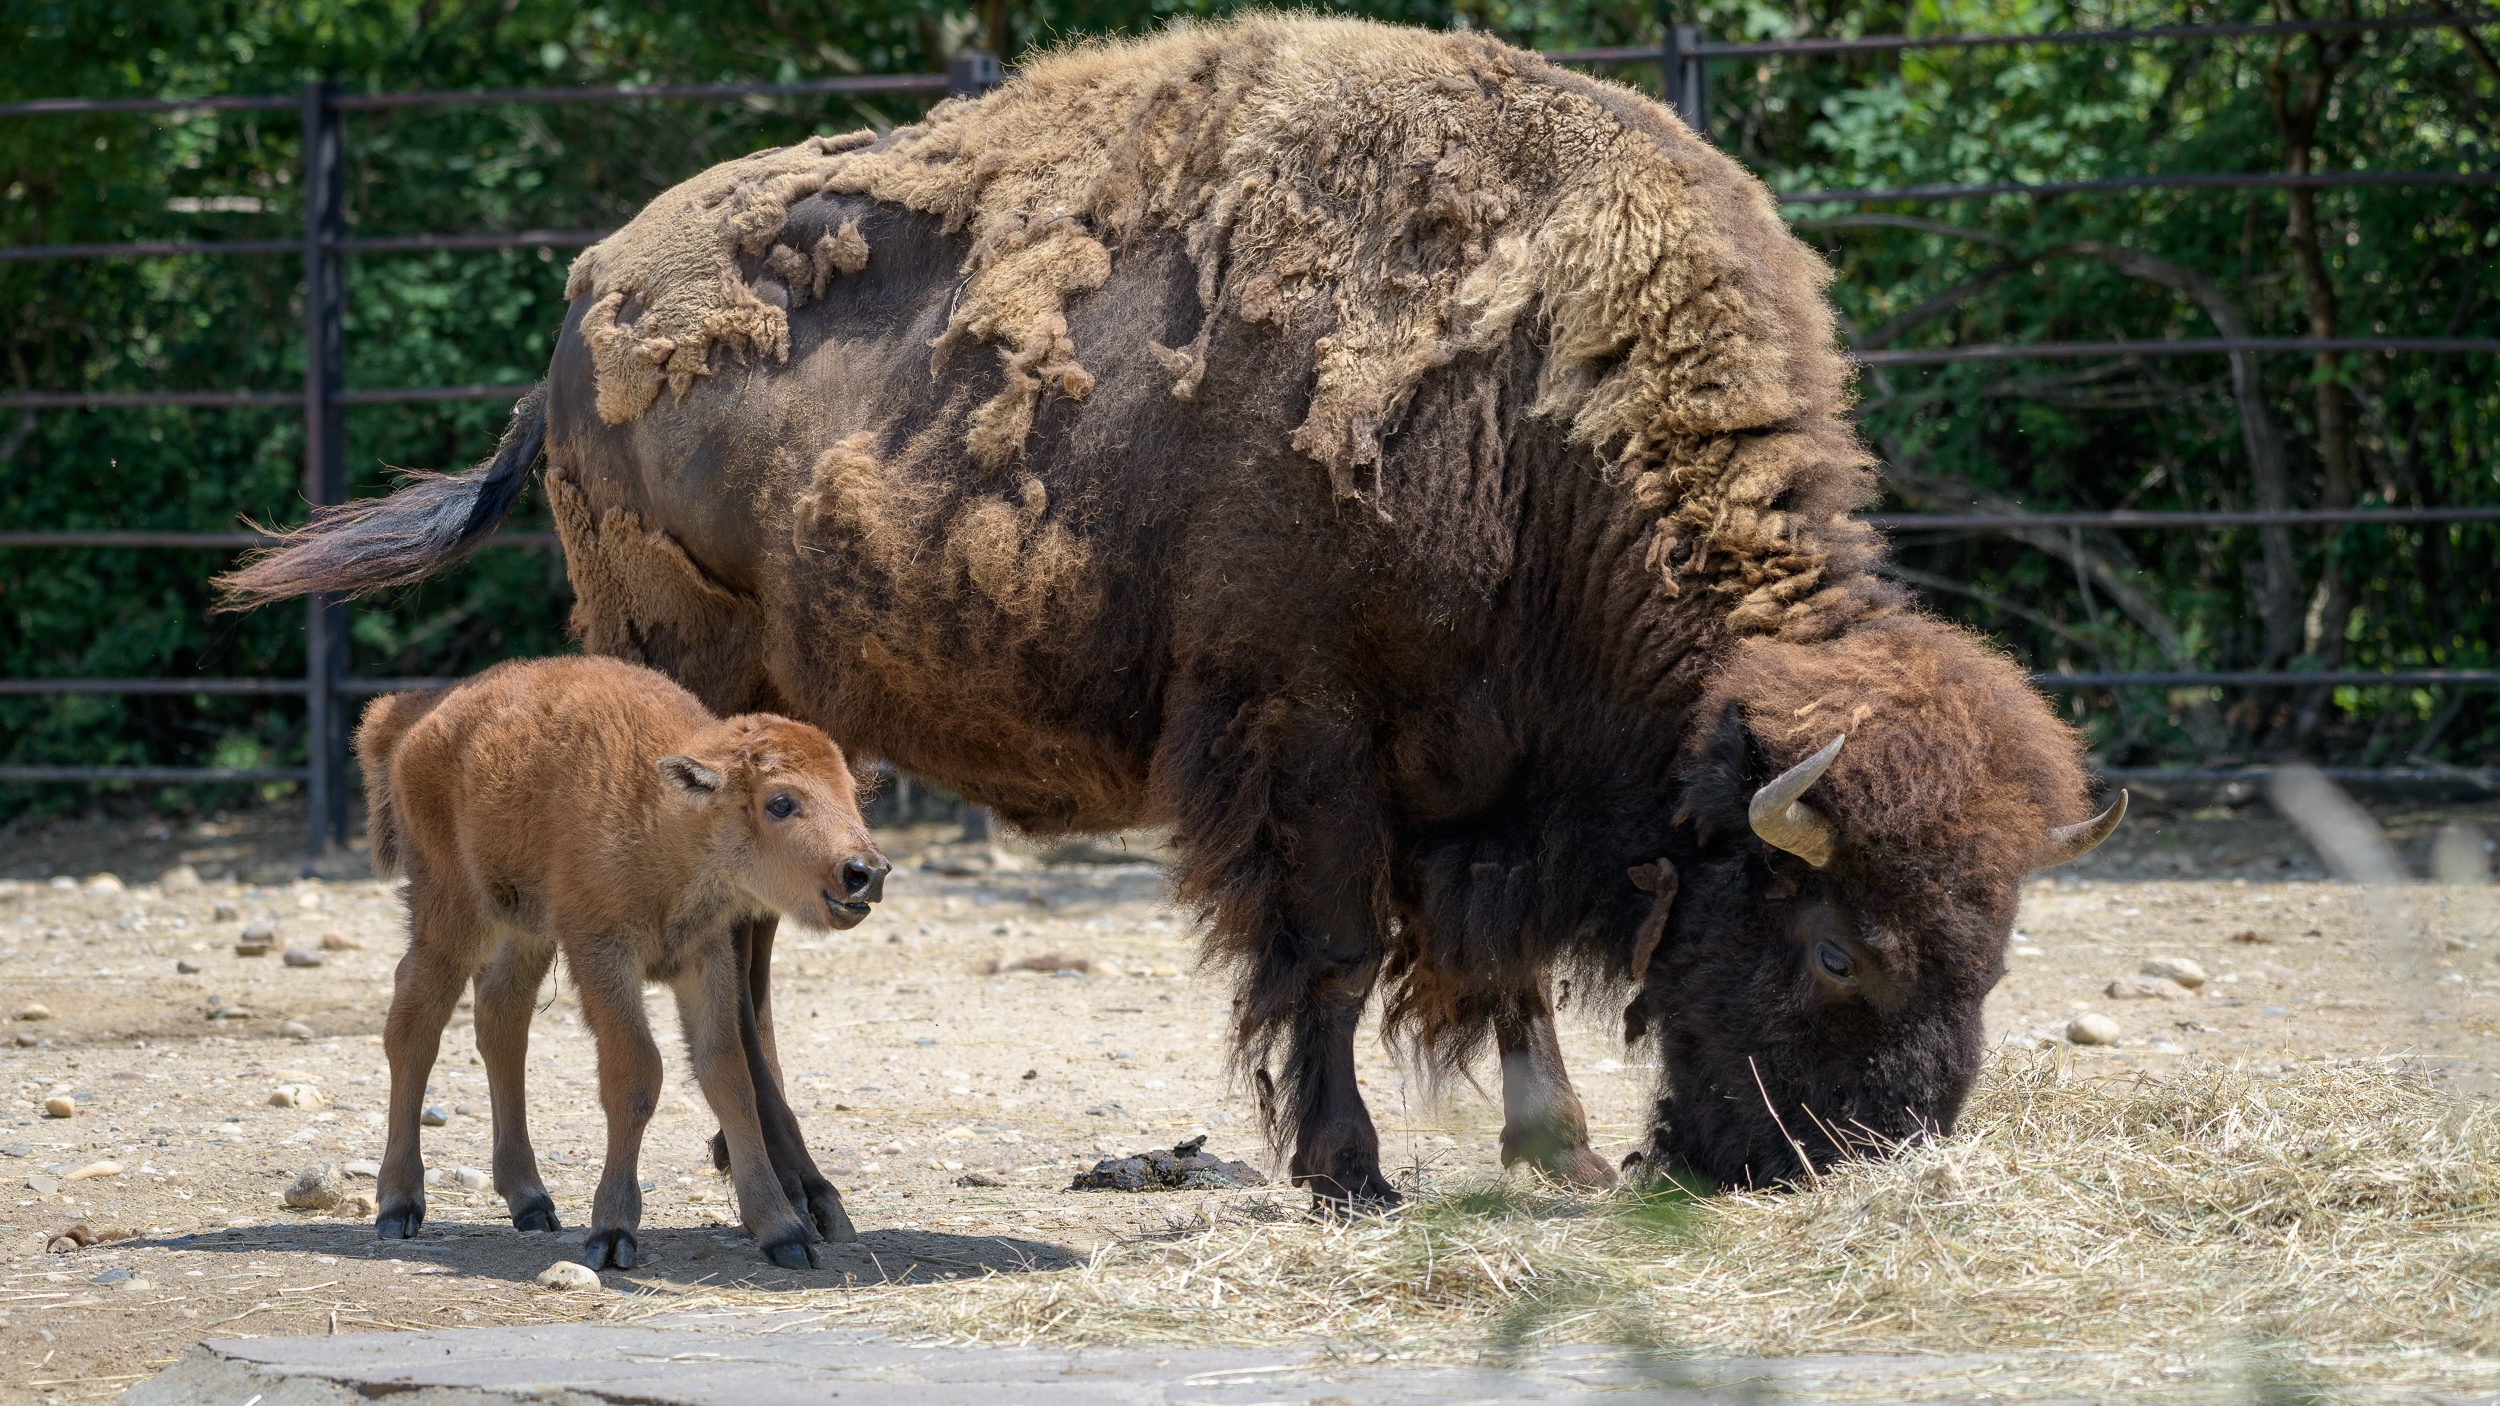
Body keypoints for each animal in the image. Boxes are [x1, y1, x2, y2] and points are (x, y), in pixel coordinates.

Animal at [357, 650, 890, 1265]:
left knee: (500, 1020)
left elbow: (729, 1079)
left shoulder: (705, 957)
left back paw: (531, 1201)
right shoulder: (602, 954)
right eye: (781, 802)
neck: (670, 813)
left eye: (851, 794)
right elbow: (635, 1076)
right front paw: (611, 1233)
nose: (866, 872)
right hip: (453, 912)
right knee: (413, 1023)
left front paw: (784, 1232)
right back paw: (399, 1206)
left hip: (526, 931)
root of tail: (413, 716)